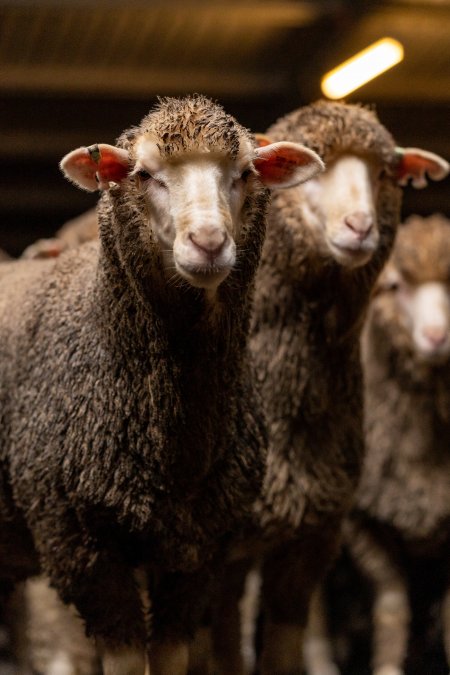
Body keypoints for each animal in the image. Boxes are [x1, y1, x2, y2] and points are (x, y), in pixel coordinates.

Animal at [209, 100, 448, 675]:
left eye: (384, 173)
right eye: (313, 170)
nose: (360, 226)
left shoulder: (316, 530)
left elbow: (282, 647)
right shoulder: (225, 549)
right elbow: (226, 647)